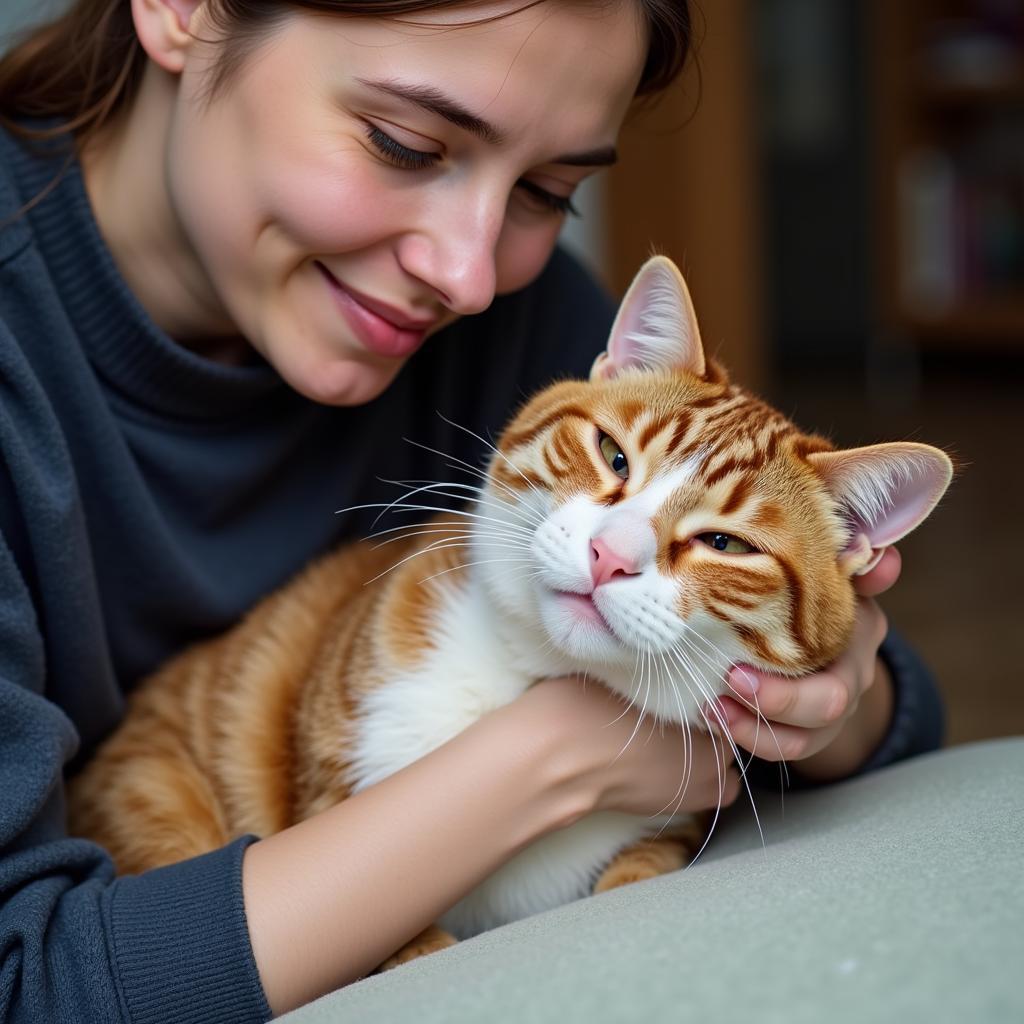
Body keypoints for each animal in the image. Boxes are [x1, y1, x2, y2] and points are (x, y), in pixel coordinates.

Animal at [70, 256, 950, 958]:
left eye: (725, 545)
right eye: (613, 456)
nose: (610, 556)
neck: (520, 678)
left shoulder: (655, 845)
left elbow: (637, 873)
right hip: (152, 786)